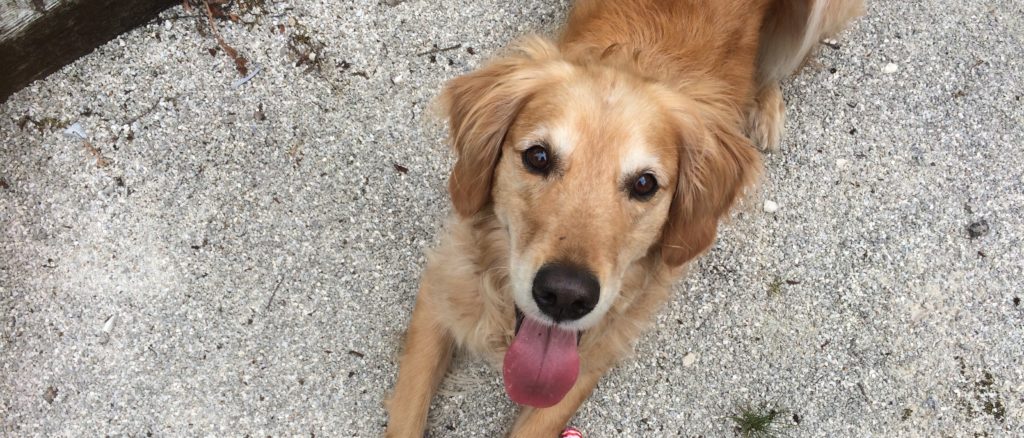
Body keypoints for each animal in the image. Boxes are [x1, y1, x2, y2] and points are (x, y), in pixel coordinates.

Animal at [385, 1, 864, 435]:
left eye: (645, 184)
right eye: (538, 157)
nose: (565, 296)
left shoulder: (594, 353)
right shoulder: (441, 287)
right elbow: (406, 413)